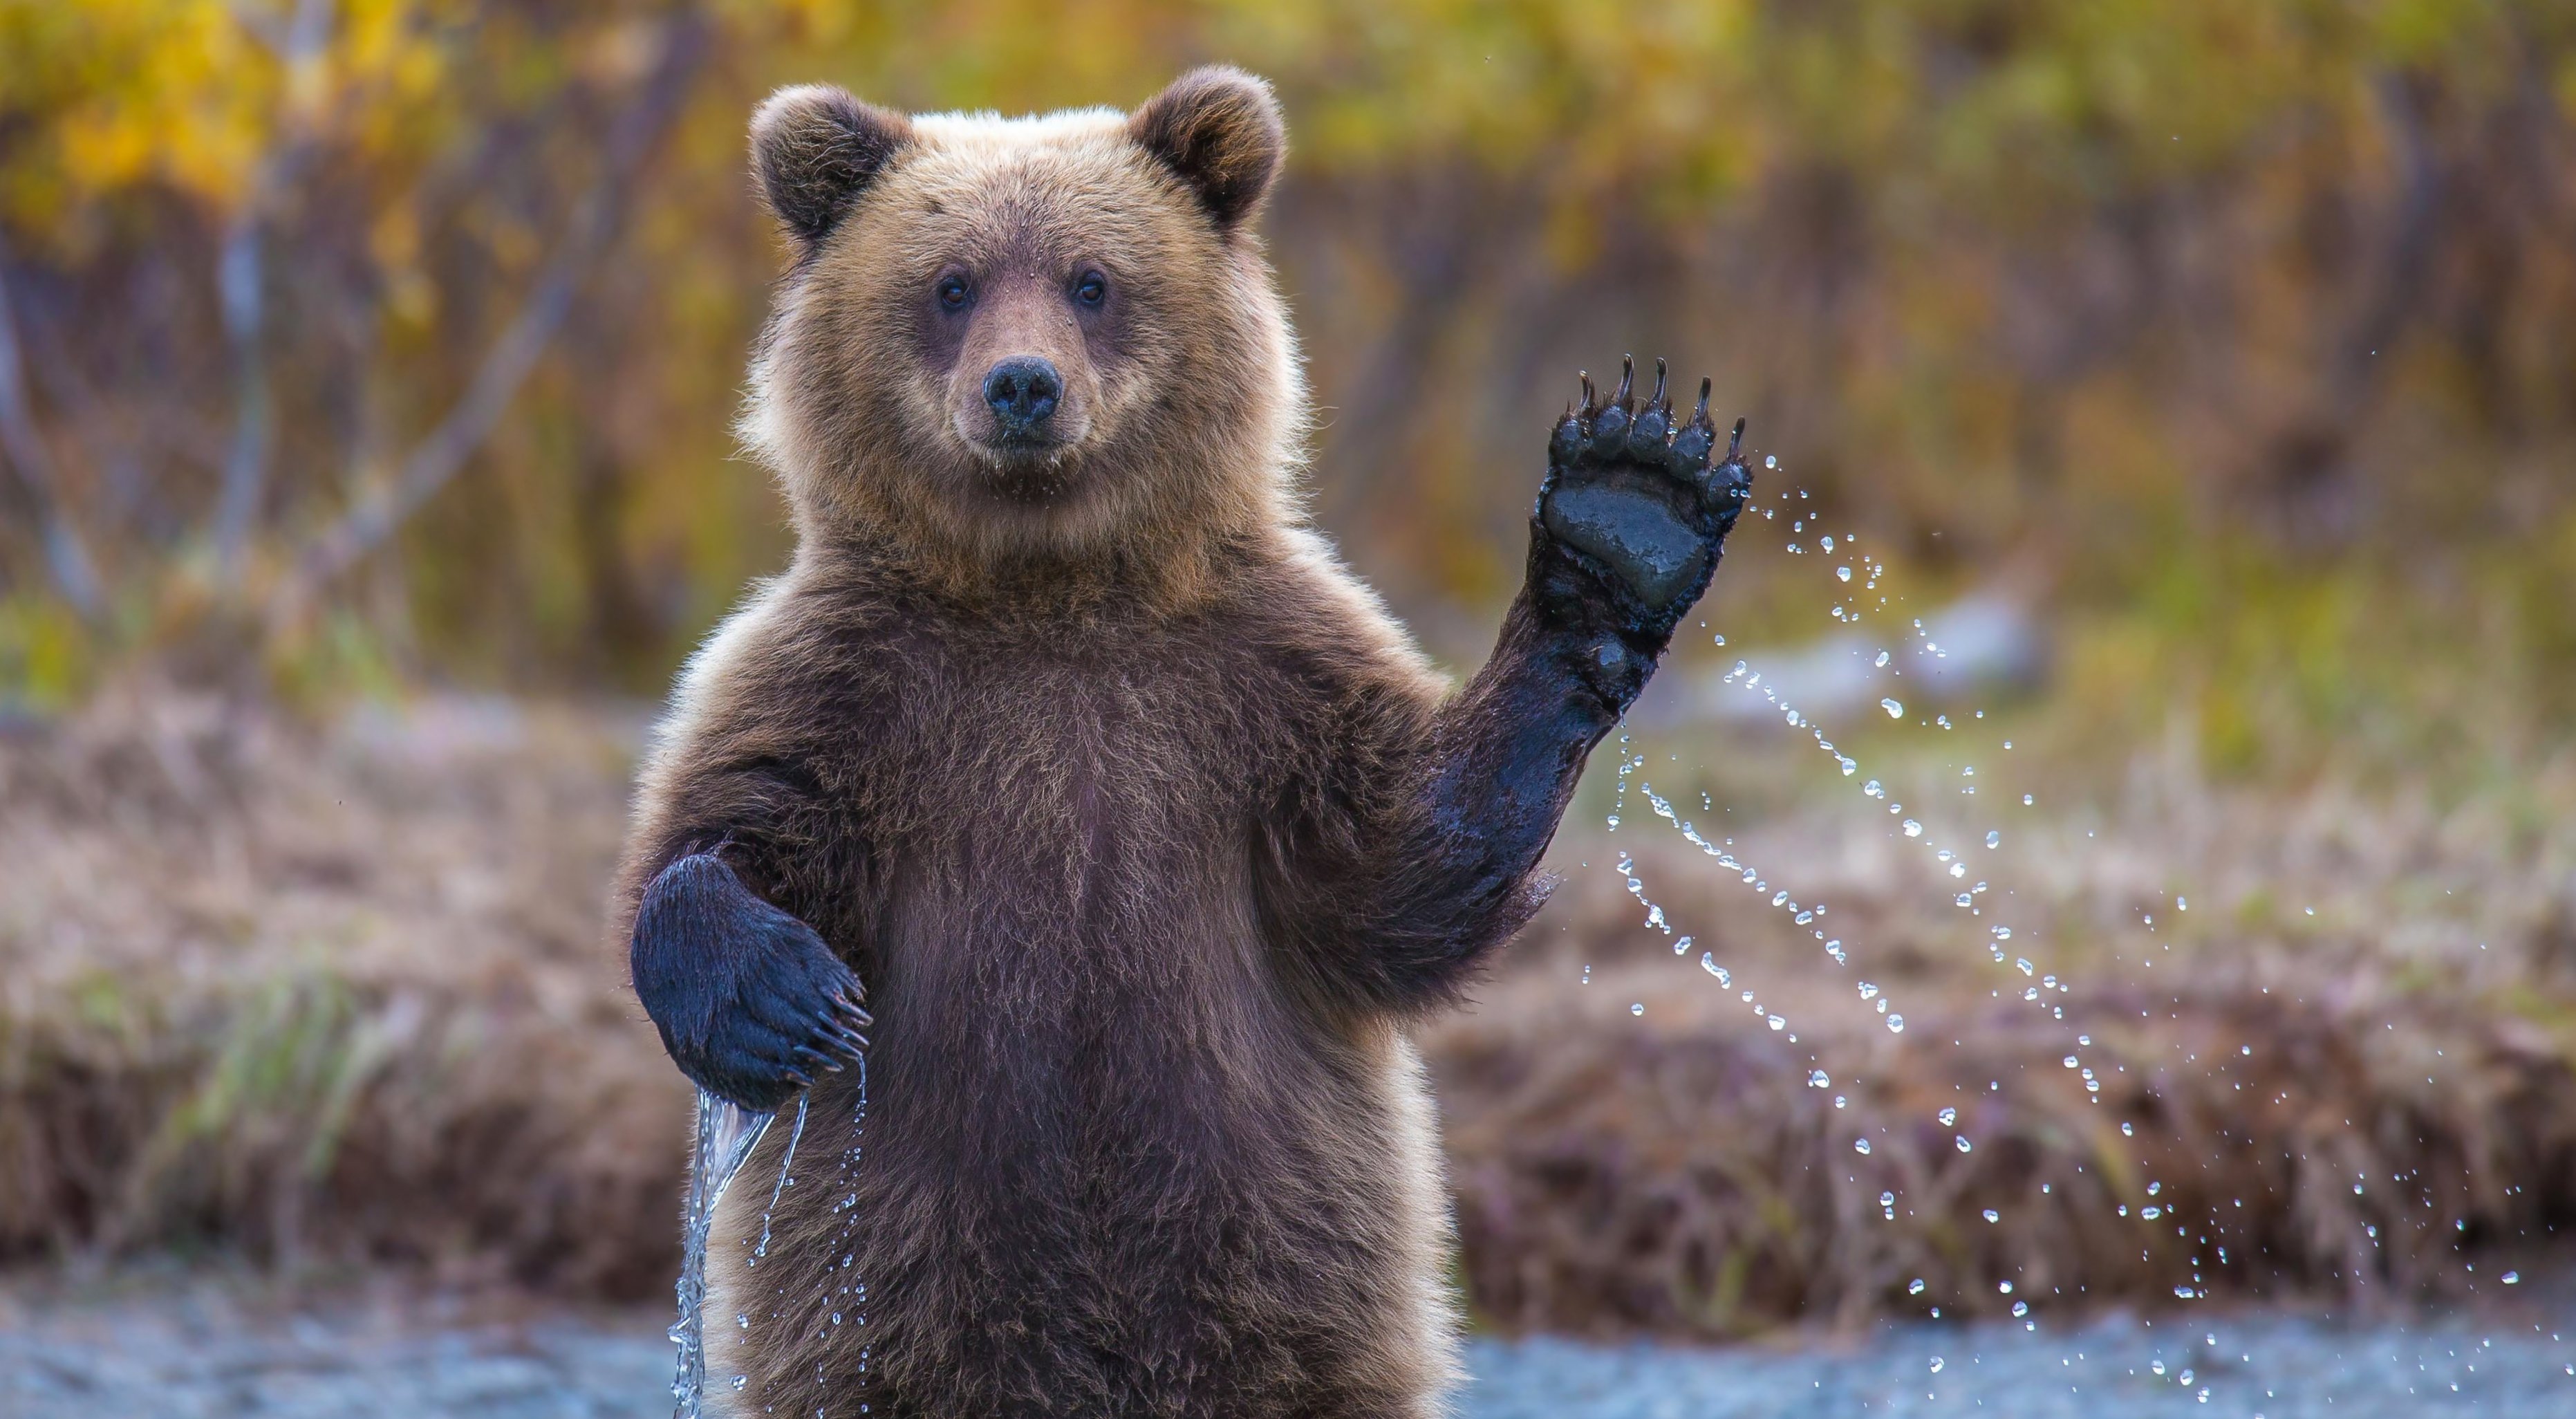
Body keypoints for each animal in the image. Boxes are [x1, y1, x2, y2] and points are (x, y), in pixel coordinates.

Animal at [613, 66, 1752, 1419]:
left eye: (1091, 279)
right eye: (952, 283)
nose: (1023, 387)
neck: (1051, 591)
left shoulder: (1257, 684)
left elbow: (1397, 871)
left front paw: (1625, 513)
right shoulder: (849, 687)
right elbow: (727, 828)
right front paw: (780, 999)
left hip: (1284, 1268)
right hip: (890, 1286)